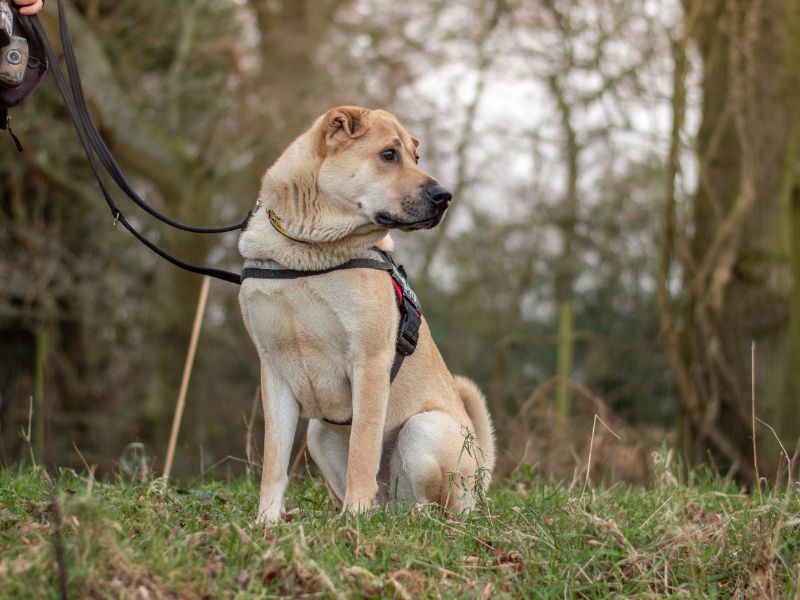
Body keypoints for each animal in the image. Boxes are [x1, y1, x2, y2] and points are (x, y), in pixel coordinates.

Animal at [238, 105, 494, 524]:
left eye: (415, 158)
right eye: (389, 155)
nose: (444, 196)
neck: (309, 251)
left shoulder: (370, 361)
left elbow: (362, 448)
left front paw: (354, 517)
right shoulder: (273, 370)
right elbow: (275, 461)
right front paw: (266, 520)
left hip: (424, 429)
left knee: (438, 507)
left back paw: (403, 515)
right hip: (318, 435)